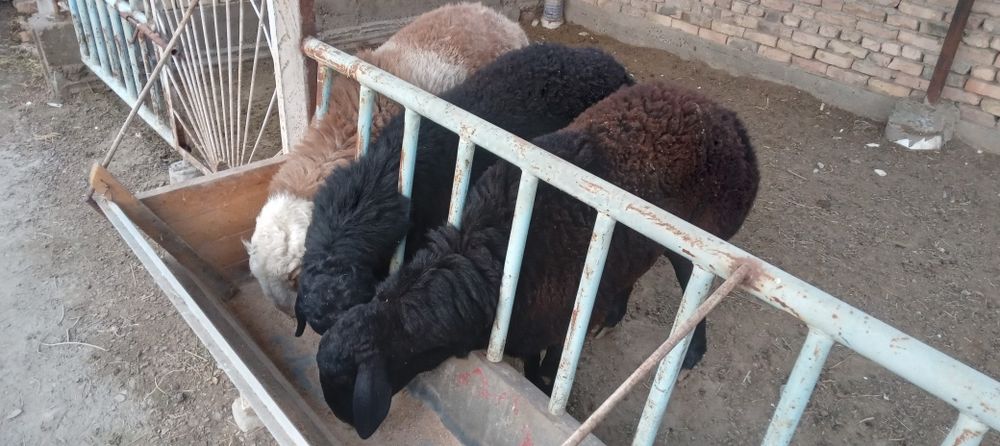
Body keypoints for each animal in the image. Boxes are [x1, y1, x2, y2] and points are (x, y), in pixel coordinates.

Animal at [313, 81, 760, 438]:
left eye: (345, 390)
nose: (347, 424)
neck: (490, 264)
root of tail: (729, 120)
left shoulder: (565, 320)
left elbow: (546, 372)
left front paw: (548, 393)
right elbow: (529, 361)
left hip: (704, 242)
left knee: (695, 289)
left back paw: (691, 354)